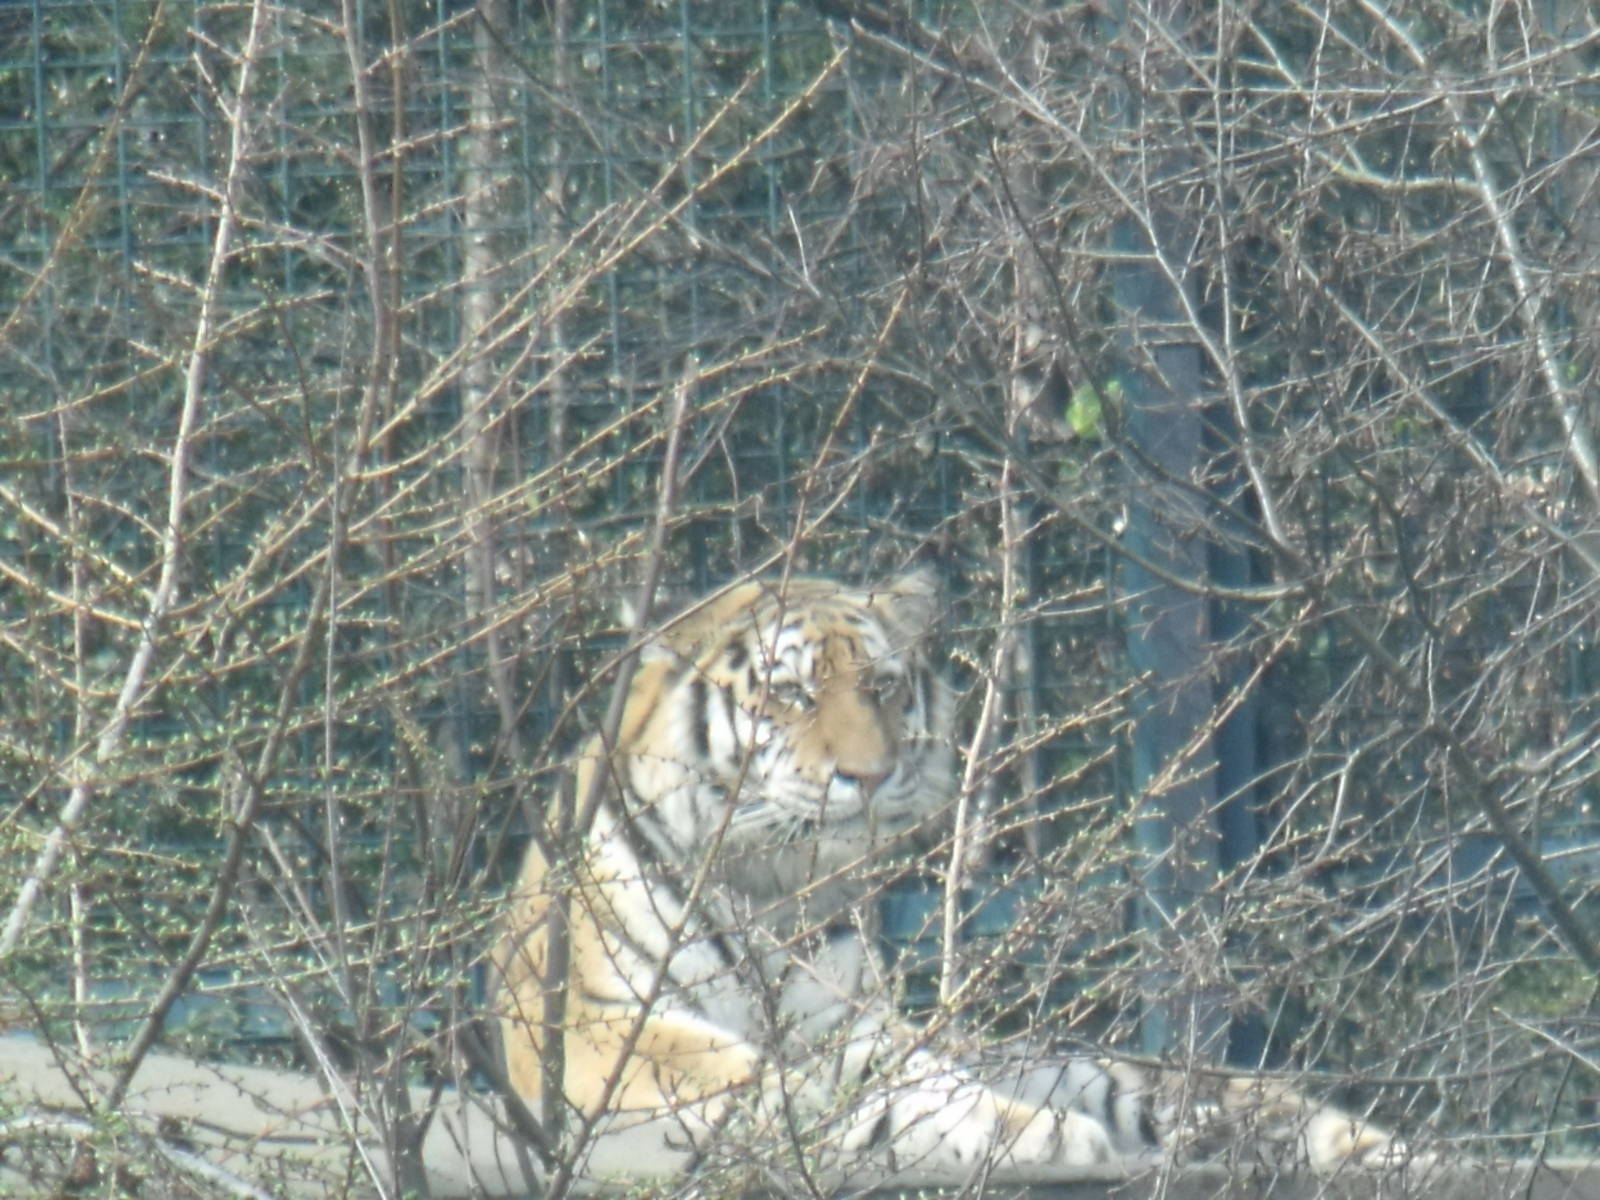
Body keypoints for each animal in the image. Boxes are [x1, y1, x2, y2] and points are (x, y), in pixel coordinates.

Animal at [490, 571, 1422, 1179]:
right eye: (791, 694)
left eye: (881, 686)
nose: (867, 777)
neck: (772, 882)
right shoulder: (590, 1030)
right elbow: (775, 1088)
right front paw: (1046, 1138)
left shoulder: (849, 1025)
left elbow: (904, 1083)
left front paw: (1033, 1132)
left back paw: (1376, 1150)